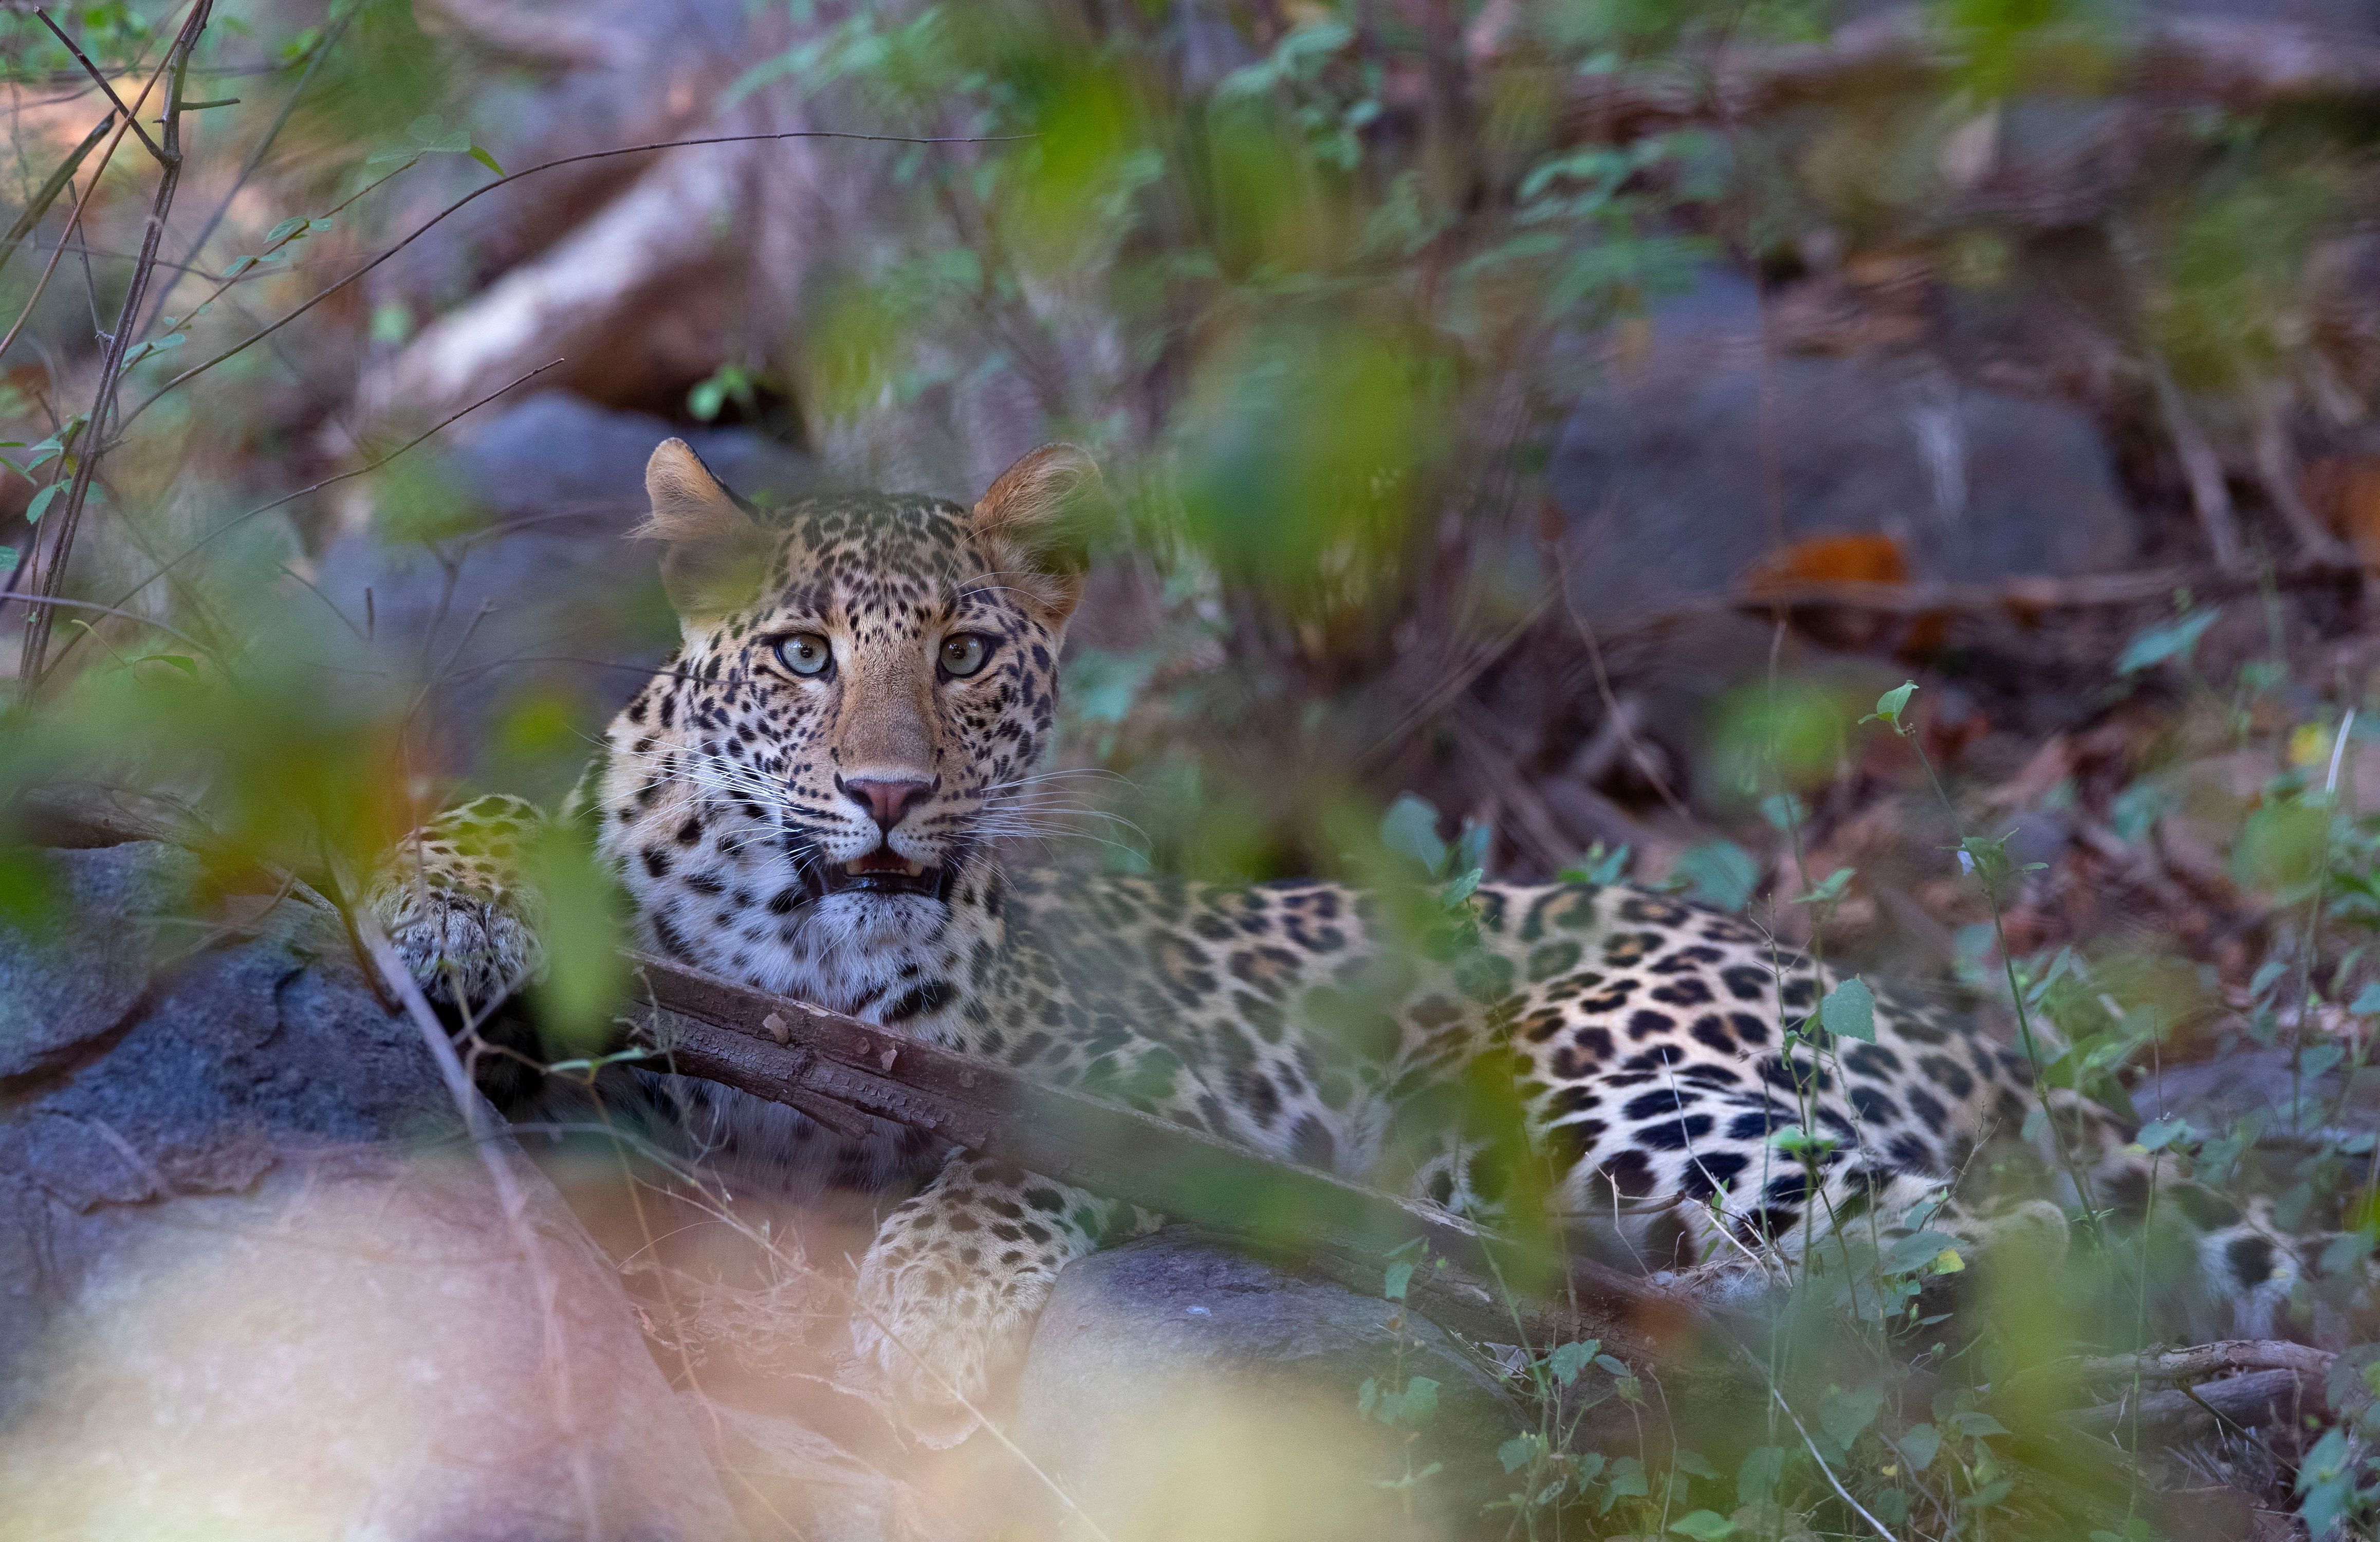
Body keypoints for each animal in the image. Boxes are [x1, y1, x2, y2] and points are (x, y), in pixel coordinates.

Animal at [372, 437, 2354, 1447]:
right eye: (798, 654)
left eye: (966, 652)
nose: (884, 793)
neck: (796, 928)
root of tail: (1967, 1033)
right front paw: (436, 886)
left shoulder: (1139, 1060)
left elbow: (1008, 1157)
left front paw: (925, 1301)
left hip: (1563, 1081)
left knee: (1993, 1252)